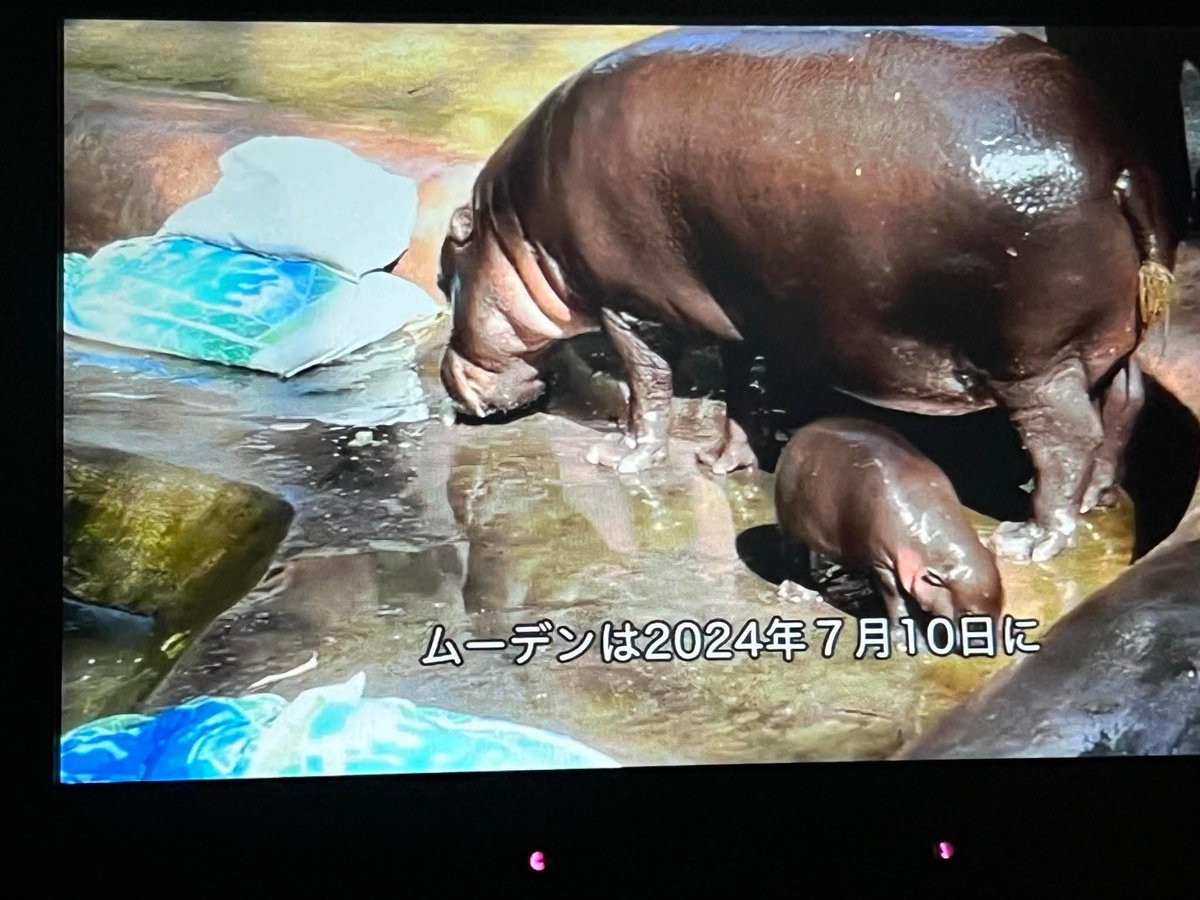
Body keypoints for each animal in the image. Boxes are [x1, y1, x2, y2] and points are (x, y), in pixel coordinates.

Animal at [438, 25, 1178, 562]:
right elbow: (741, 390)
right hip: (1100, 339)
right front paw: (719, 462)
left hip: (1032, 359)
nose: (446, 382)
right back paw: (1097, 499)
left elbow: (648, 388)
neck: (518, 228)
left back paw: (1030, 539)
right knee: (1125, 400)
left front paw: (619, 457)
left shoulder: (628, 307)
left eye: (447, 278)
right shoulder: (737, 311)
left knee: (1068, 435)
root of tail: (1117, 160)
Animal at [774, 417, 1003, 626]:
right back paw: (797, 591)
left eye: (1001, 607)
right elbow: (897, 598)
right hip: (790, 525)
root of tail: (799, 433)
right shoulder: (883, 561)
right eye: (970, 614)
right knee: (793, 557)